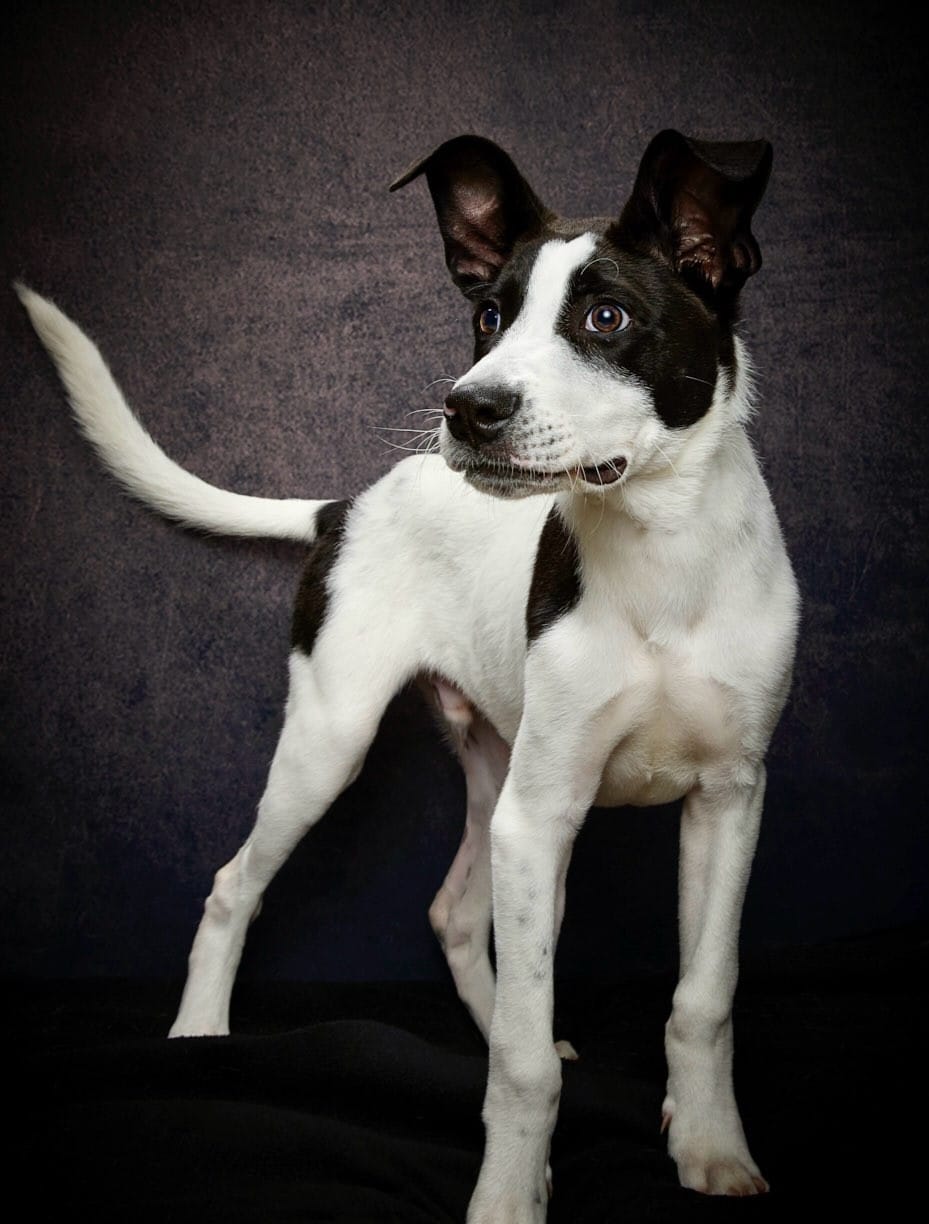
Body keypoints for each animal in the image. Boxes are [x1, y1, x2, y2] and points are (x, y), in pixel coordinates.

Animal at [16, 129, 798, 1219]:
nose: (467, 408)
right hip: (334, 743)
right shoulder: (541, 815)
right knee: (233, 886)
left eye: (605, 317)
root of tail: (346, 506)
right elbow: (524, 1066)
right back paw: (199, 1035)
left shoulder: (728, 801)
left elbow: (704, 997)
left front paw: (712, 1148)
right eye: (487, 317)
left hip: (494, 774)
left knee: (459, 918)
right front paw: (506, 1198)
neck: (661, 559)